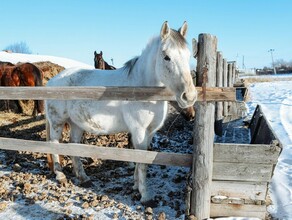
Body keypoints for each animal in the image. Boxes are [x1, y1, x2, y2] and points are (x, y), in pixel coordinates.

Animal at [45, 21, 196, 205]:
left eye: (188, 55)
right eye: (167, 57)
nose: (189, 96)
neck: (141, 88)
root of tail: (51, 81)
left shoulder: (150, 132)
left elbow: (142, 161)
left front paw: (136, 186)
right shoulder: (139, 131)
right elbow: (142, 162)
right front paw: (145, 196)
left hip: (76, 123)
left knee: (73, 145)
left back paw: (83, 177)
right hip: (57, 122)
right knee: (54, 144)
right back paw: (60, 176)